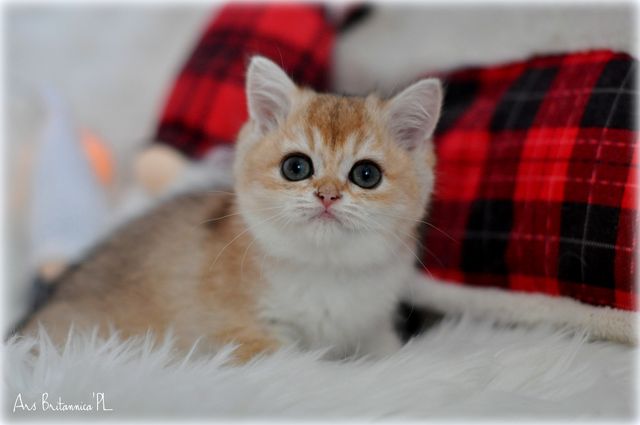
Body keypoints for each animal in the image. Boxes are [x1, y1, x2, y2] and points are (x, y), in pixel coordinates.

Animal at [20, 56, 442, 363]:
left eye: (366, 175)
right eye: (296, 167)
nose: (327, 195)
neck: (325, 269)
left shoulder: (374, 326)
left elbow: (387, 352)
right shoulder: (241, 337)